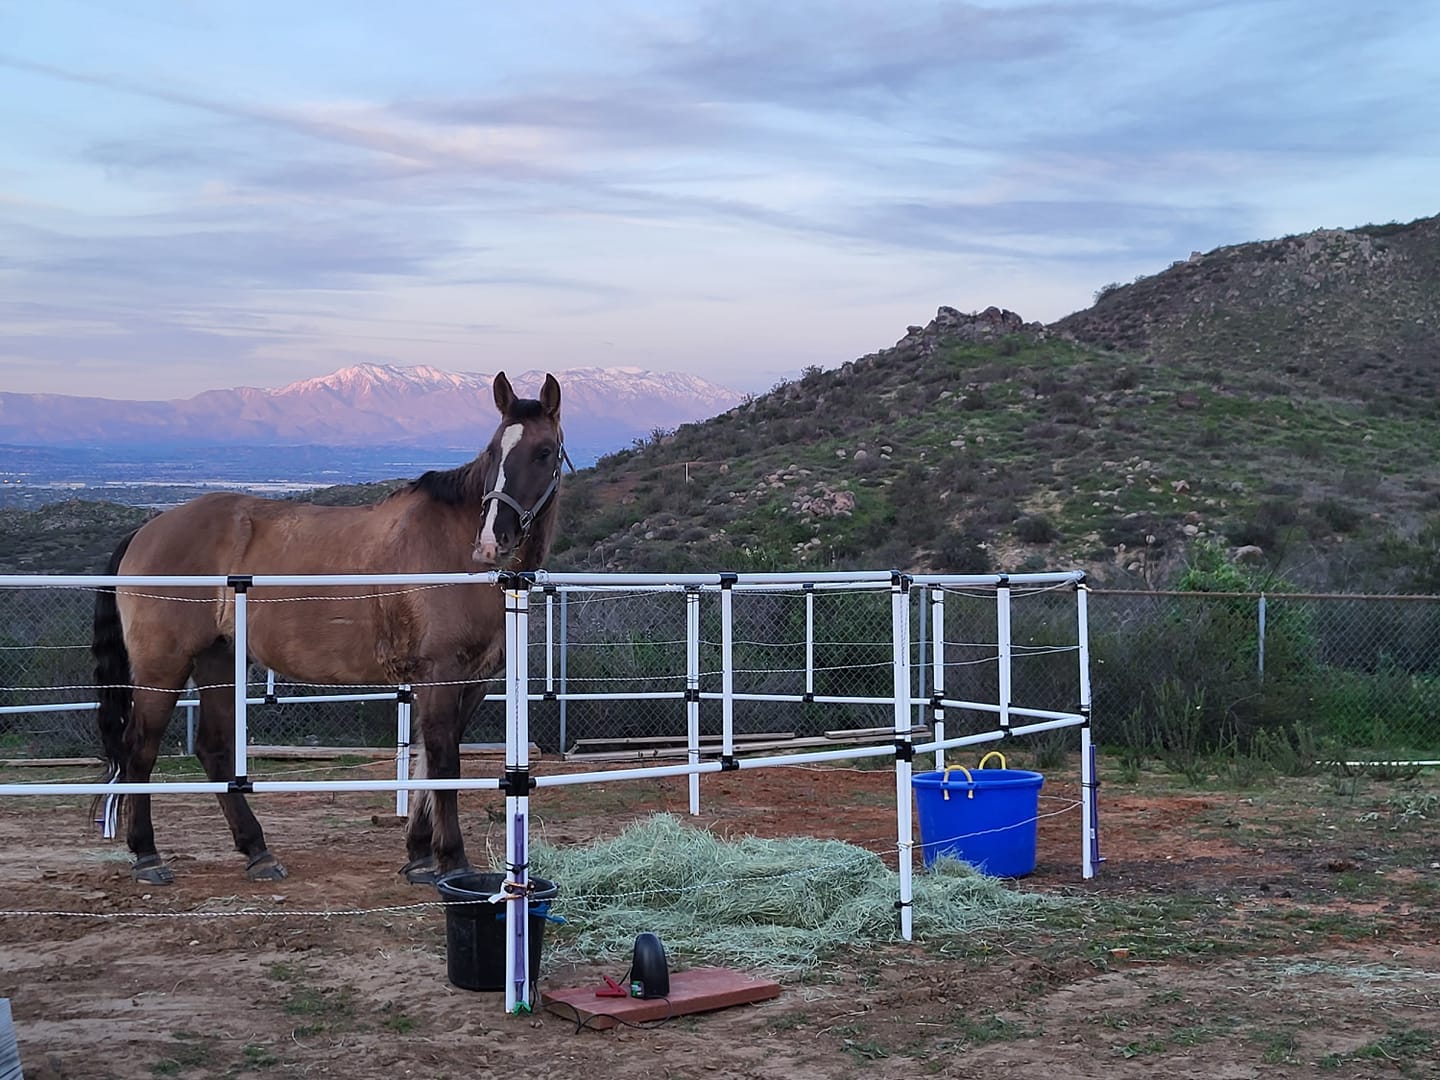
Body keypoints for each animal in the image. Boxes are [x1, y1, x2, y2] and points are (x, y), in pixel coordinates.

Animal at [91, 371, 565, 886]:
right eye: (495, 450)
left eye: (544, 452)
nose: (491, 542)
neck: (452, 548)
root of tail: (146, 531)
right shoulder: (439, 674)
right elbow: (443, 762)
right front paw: (450, 860)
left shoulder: (473, 680)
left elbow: (427, 759)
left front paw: (419, 855)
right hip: (164, 666)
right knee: (141, 748)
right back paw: (148, 856)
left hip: (219, 658)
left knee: (213, 749)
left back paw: (258, 852)